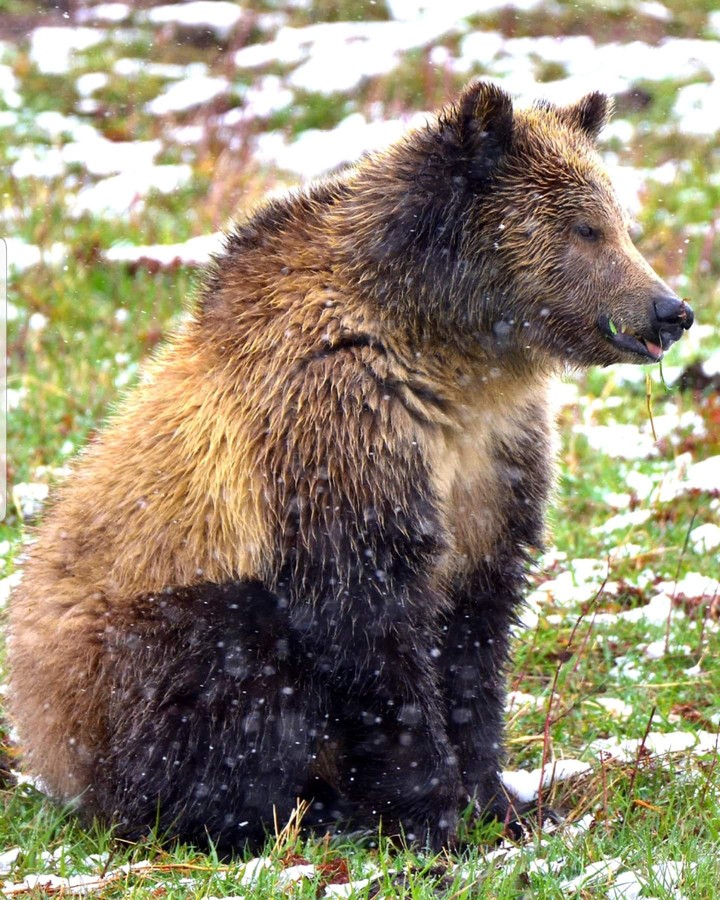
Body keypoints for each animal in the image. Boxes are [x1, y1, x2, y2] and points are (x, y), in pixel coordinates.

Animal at [7, 81, 693, 854]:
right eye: (585, 228)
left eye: (620, 221)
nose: (670, 310)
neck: (453, 357)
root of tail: (40, 734)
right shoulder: (339, 436)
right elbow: (373, 639)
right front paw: (435, 821)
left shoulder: (496, 463)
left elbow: (476, 636)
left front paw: (507, 805)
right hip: (140, 639)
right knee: (231, 678)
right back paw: (283, 815)